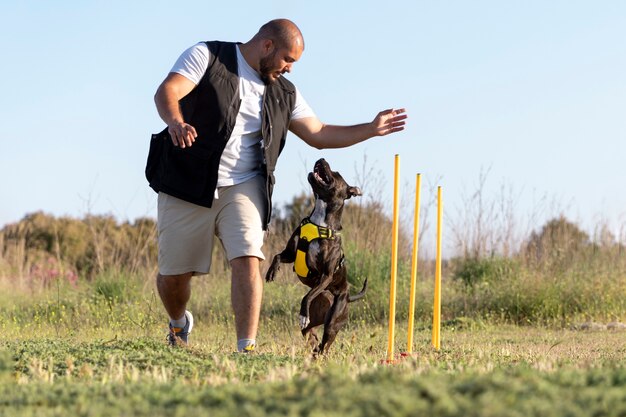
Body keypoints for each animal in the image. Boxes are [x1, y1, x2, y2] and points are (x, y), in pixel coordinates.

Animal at [264, 158, 366, 352]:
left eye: (337, 173)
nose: (322, 159)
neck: (320, 221)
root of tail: (348, 296)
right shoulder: (291, 253)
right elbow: (277, 256)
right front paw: (271, 272)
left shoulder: (326, 275)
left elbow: (307, 295)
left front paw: (303, 314)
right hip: (315, 319)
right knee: (312, 336)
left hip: (333, 320)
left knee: (325, 343)